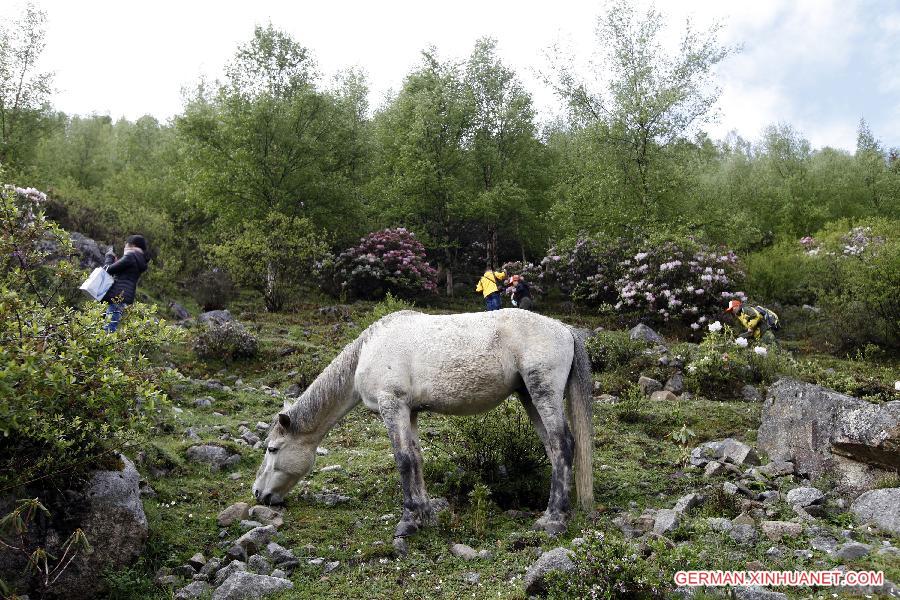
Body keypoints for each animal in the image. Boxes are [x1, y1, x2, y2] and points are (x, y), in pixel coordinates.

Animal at [253, 310, 596, 536]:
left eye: (272, 449)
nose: (258, 494)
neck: (367, 352)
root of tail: (564, 329)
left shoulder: (392, 405)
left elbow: (403, 460)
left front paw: (407, 522)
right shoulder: (410, 411)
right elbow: (416, 459)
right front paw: (426, 516)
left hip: (542, 391)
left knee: (563, 444)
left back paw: (554, 520)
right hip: (528, 396)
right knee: (554, 447)